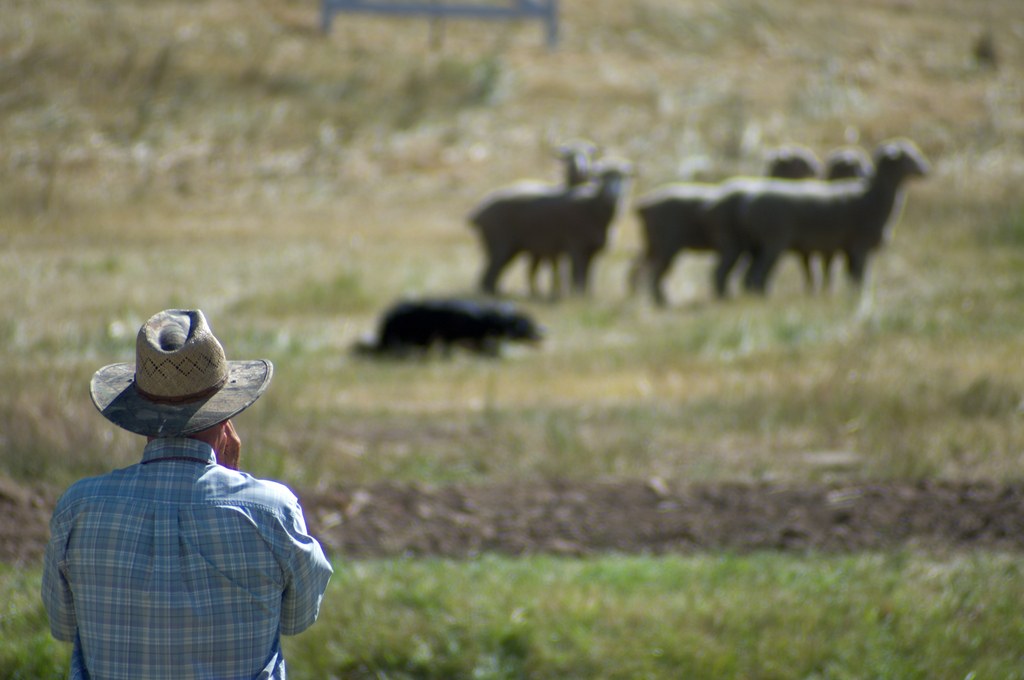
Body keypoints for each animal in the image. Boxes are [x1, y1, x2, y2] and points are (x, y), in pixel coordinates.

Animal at [468, 159, 630, 301]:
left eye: (622, 179)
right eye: (603, 179)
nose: (613, 194)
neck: (593, 206)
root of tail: (478, 212)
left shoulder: (592, 251)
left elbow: (589, 276)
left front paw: (587, 298)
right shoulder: (576, 246)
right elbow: (578, 275)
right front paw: (577, 298)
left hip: (511, 249)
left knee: (490, 277)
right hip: (500, 245)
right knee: (488, 277)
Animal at [708, 138, 933, 294]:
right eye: (908, 158)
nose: (925, 170)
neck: (871, 197)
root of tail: (749, 203)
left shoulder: (839, 249)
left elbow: (842, 276)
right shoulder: (858, 246)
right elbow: (858, 278)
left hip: (756, 245)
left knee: (747, 276)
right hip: (771, 242)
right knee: (755, 275)